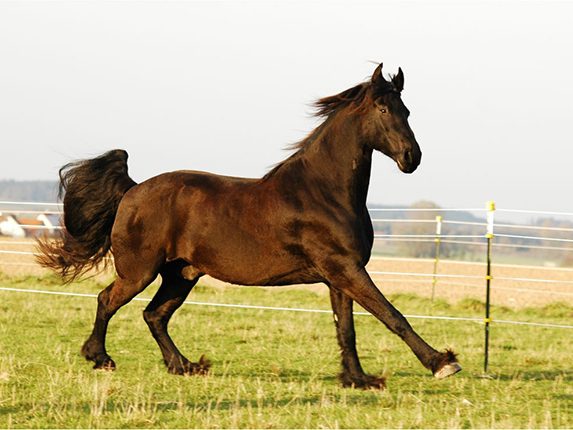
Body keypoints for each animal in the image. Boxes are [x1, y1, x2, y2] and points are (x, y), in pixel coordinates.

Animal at [38, 63, 460, 390]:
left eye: (407, 110)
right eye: (383, 108)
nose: (412, 157)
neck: (323, 192)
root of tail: (132, 189)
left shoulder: (340, 274)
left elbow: (347, 328)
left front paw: (358, 379)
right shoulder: (345, 269)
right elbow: (392, 315)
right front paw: (443, 363)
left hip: (181, 274)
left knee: (154, 315)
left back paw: (186, 366)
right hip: (140, 270)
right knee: (107, 300)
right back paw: (100, 358)